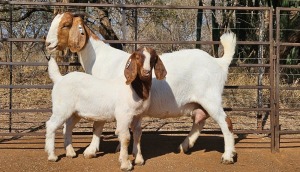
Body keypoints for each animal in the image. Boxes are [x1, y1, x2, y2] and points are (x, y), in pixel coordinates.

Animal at [45, 11, 237, 164]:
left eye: (66, 24)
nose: (47, 43)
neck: (99, 58)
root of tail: (219, 62)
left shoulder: (104, 102)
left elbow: (98, 125)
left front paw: (91, 151)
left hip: (210, 97)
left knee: (225, 122)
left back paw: (227, 156)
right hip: (199, 102)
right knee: (200, 119)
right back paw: (184, 145)